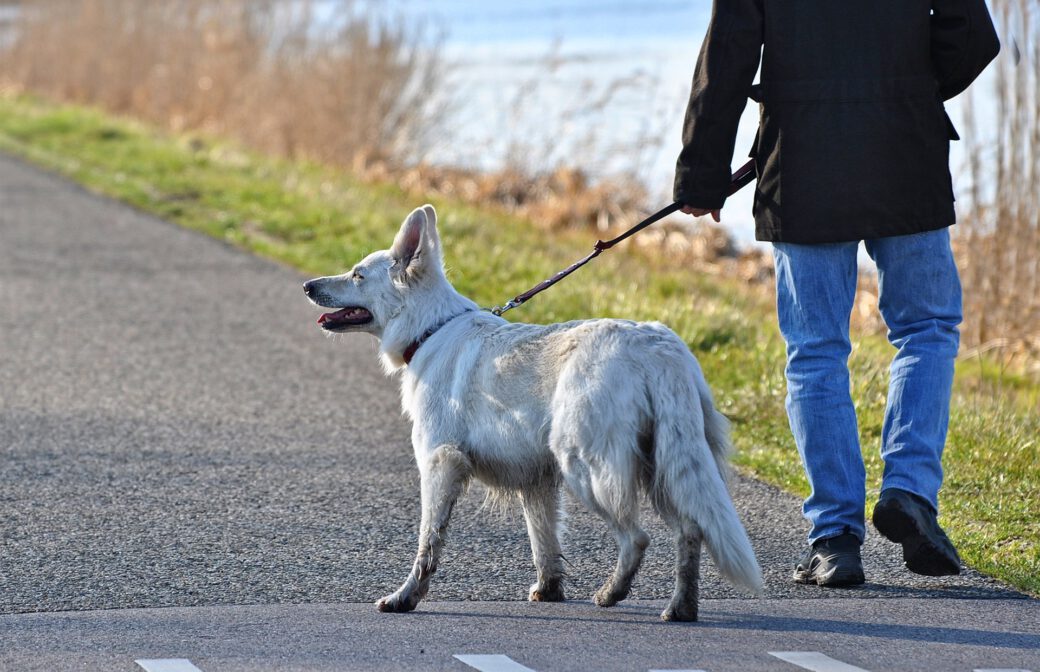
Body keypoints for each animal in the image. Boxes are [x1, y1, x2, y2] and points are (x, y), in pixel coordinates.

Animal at [303, 207, 761, 628]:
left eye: (358, 275)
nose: (308, 286)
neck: (431, 329)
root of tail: (658, 347)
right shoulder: (536, 481)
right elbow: (544, 543)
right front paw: (549, 590)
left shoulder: (439, 464)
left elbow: (428, 543)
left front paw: (405, 597)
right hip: (663, 467)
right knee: (690, 531)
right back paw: (681, 608)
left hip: (587, 468)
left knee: (637, 538)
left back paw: (611, 594)